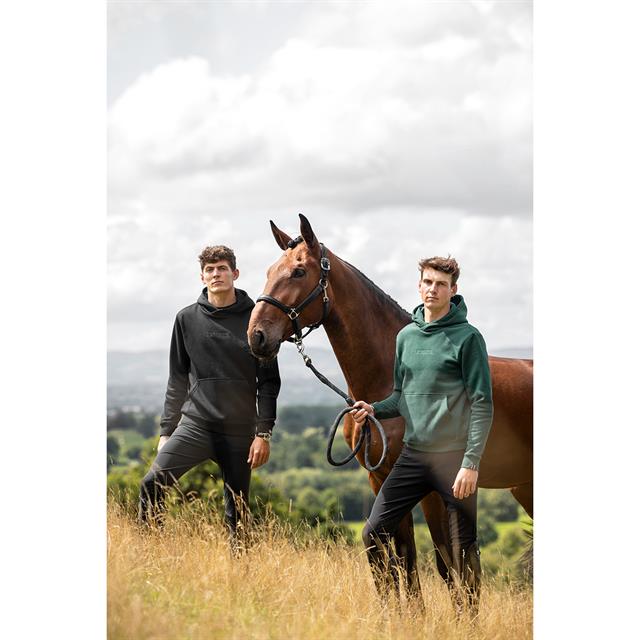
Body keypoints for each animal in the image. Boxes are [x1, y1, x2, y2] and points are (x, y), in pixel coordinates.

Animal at [248, 215, 532, 600]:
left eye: (298, 272)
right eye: (269, 270)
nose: (256, 335)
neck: (388, 373)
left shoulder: (431, 488)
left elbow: (446, 565)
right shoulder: (380, 478)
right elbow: (400, 561)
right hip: (524, 487)